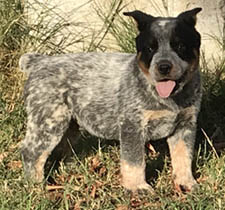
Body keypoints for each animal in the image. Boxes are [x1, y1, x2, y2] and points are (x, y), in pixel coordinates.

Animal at [19, 7, 202, 193]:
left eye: (180, 46)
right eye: (150, 48)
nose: (163, 66)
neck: (170, 99)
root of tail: (38, 62)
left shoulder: (185, 125)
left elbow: (183, 157)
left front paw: (186, 183)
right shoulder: (132, 126)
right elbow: (134, 161)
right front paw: (138, 187)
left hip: (69, 124)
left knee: (61, 148)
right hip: (49, 121)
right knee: (30, 152)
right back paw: (37, 186)